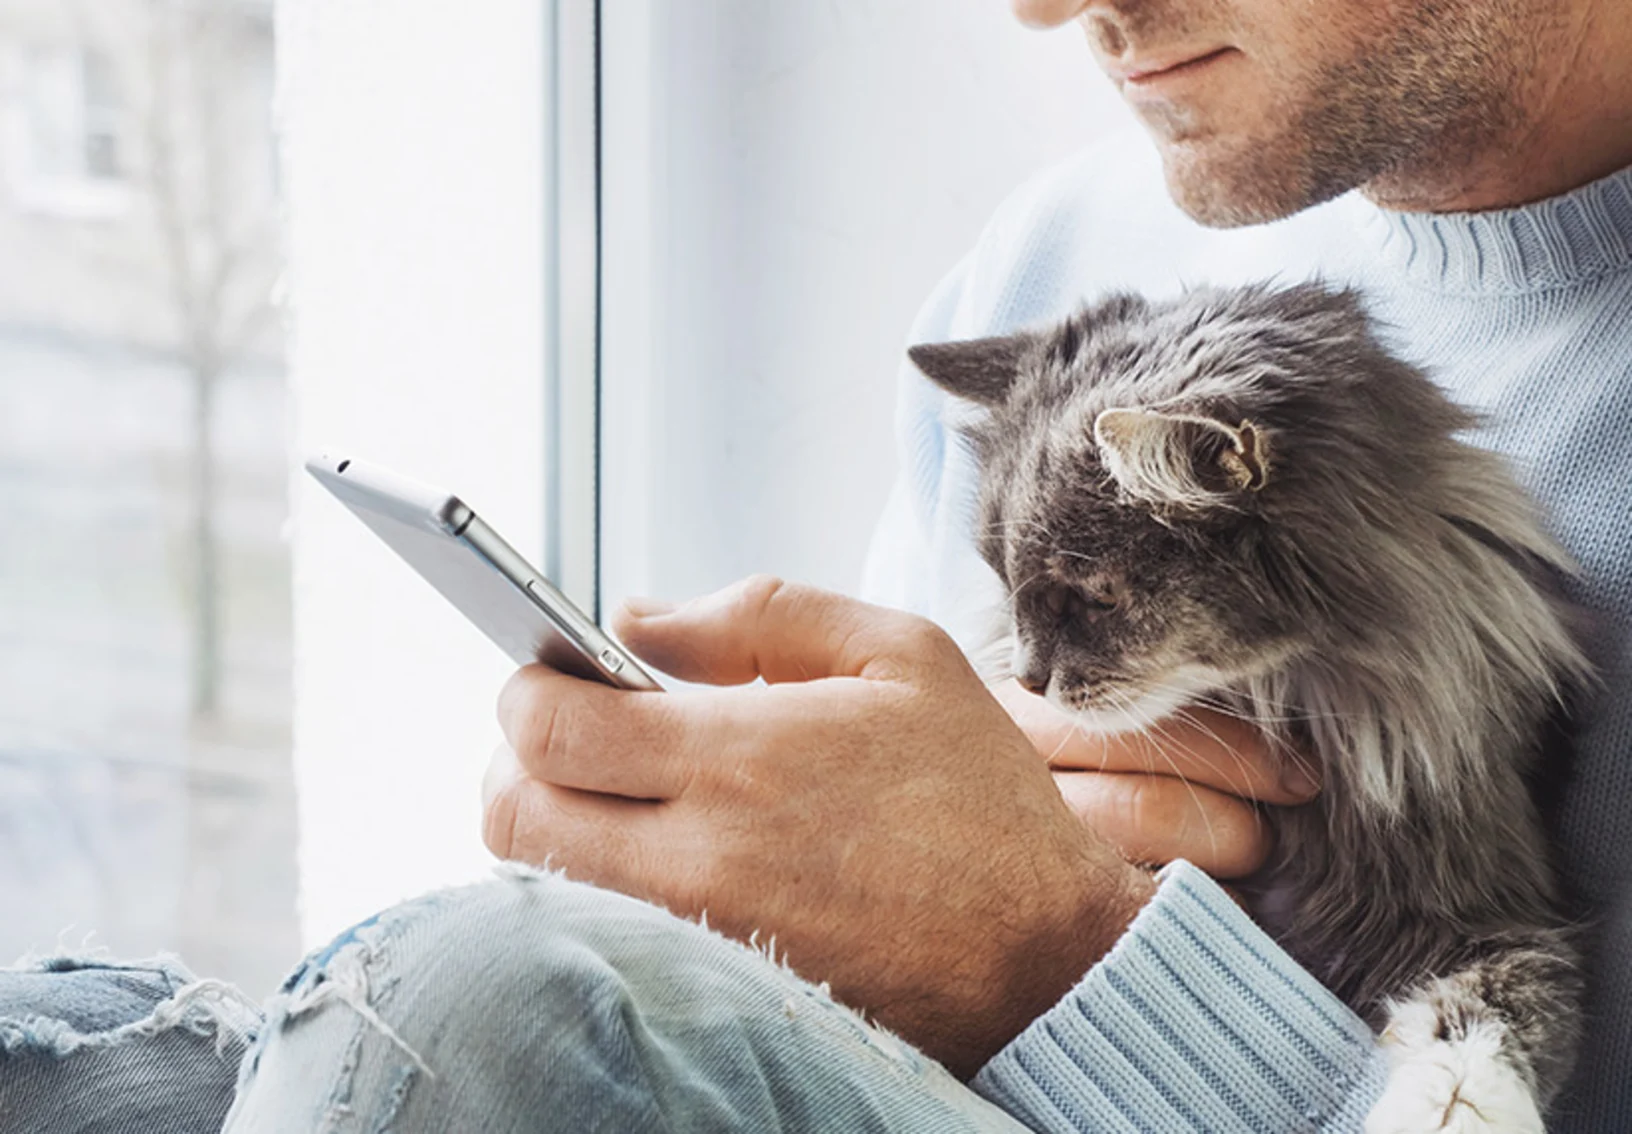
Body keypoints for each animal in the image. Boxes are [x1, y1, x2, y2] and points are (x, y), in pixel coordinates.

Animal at [913, 283, 1599, 1134]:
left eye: (1093, 598)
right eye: (1003, 582)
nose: (1031, 680)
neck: (1283, 698)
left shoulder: (1500, 912)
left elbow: (1496, 1020)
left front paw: (1441, 1110)